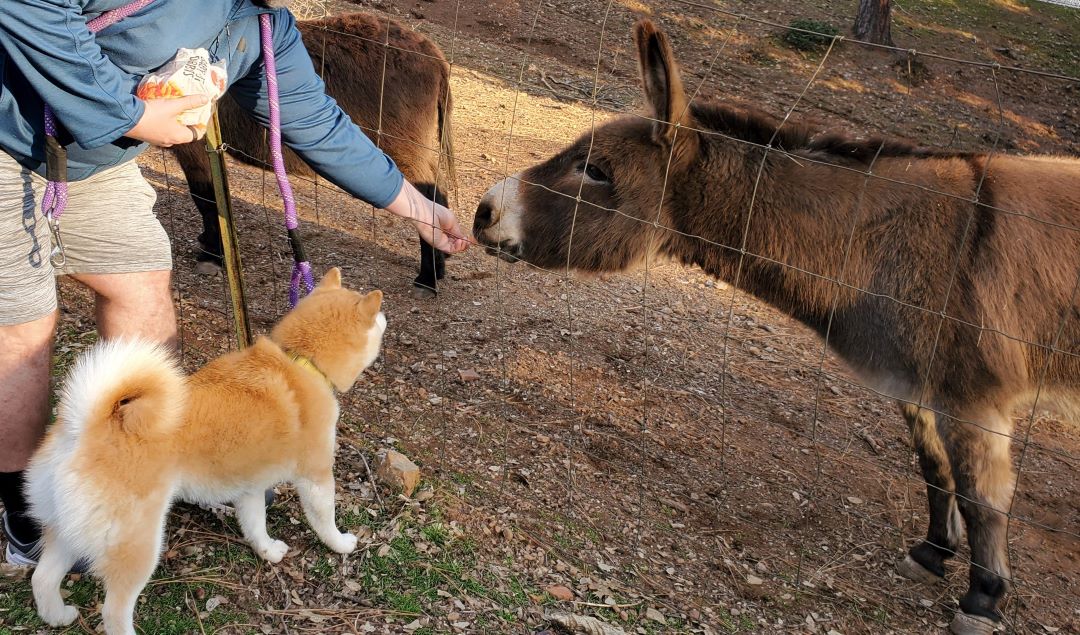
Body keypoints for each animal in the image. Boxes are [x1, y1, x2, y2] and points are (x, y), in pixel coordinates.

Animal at [24, 267, 388, 635]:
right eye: (379, 318)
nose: (386, 317)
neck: (301, 362)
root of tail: (85, 427)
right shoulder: (315, 476)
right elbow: (324, 519)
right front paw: (341, 544)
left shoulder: (251, 487)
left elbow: (256, 526)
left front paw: (268, 551)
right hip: (136, 546)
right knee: (113, 610)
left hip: (65, 528)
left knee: (42, 578)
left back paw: (58, 615)